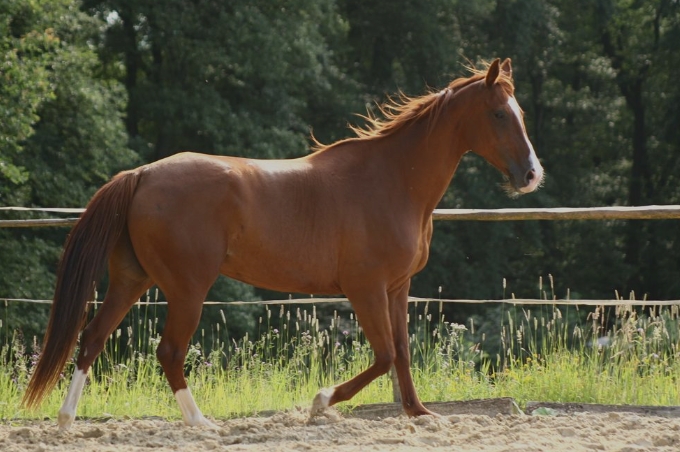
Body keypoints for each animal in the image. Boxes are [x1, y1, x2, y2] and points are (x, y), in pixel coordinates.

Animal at [21, 57, 544, 428]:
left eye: (520, 112)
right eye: (499, 114)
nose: (531, 175)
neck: (391, 180)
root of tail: (142, 174)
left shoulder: (396, 288)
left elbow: (402, 353)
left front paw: (419, 414)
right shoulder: (366, 288)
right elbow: (384, 356)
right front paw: (319, 402)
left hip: (132, 279)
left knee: (91, 338)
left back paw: (66, 420)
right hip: (187, 288)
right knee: (168, 351)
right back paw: (201, 424)